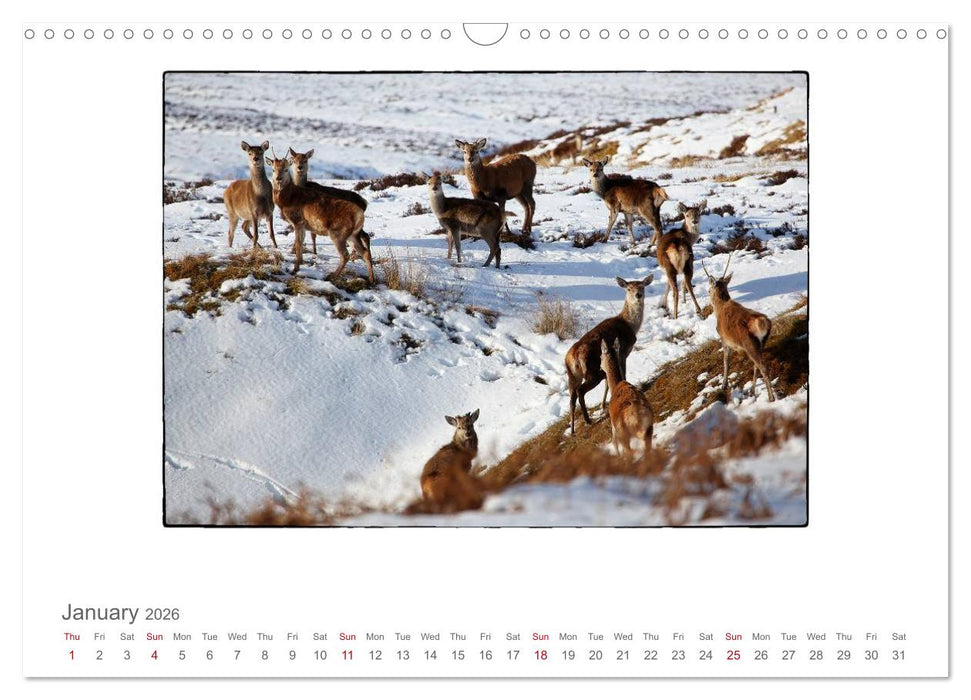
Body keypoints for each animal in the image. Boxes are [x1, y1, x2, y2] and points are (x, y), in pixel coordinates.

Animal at [565, 275, 654, 435]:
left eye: (642, 286)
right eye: (629, 288)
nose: (638, 295)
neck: (631, 325)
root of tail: (572, 357)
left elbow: (608, 382)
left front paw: (602, 404)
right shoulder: (623, 351)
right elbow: (622, 373)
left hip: (572, 375)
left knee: (572, 397)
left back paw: (573, 429)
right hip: (592, 370)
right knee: (580, 391)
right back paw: (588, 420)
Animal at [703, 253, 777, 402]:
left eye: (709, 289)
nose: (707, 292)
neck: (719, 309)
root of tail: (762, 322)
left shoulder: (724, 339)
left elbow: (726, 362)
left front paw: (724, 385)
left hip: (748, 343)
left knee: (763, 367)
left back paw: (771, 397)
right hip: (760, 343)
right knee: (756, 366)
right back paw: (753, 391)